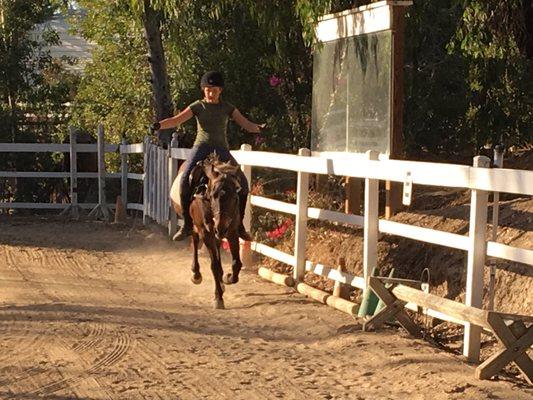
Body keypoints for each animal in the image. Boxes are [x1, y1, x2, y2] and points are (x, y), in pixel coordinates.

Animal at [170, 154, 243, 310]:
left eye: (235, 195)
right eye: (213, 195)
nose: (220, 227)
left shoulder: (232, 232)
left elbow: (236, 263)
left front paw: (228, 278)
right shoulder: (206, 233)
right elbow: (214, 265)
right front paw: (218, 298)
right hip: (196, 227)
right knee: (195, 242)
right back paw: (196, 274)